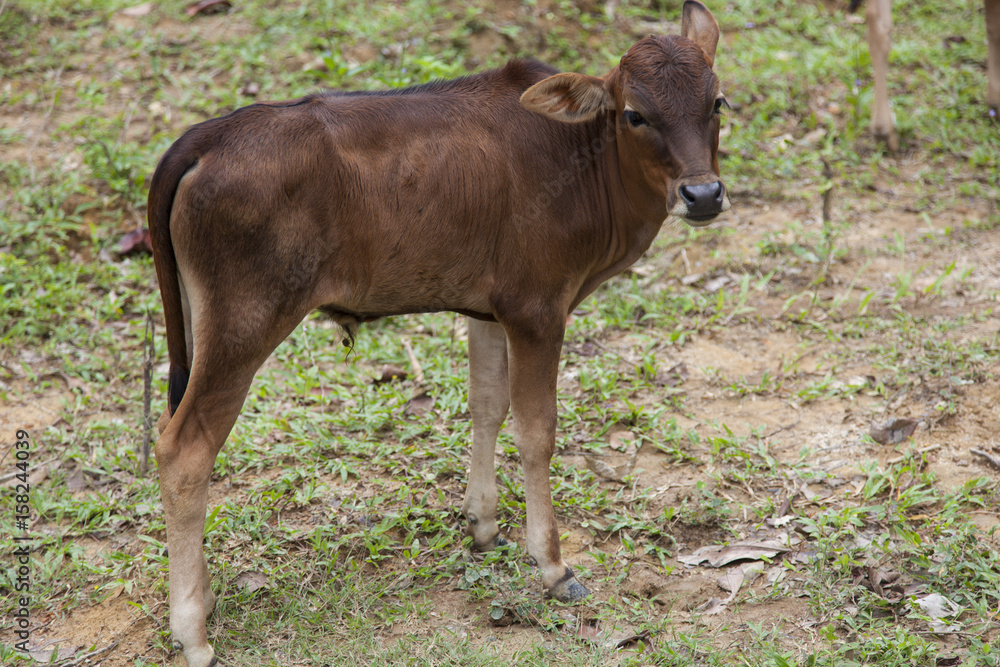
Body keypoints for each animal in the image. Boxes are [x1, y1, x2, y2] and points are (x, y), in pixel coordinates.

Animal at [148, 2, 728, 664]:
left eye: (717, 102)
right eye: (635, 113)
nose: (703, 194)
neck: (582, 157)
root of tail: (208, 136)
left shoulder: (490, 312)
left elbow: (487, 406)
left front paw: (484, 524)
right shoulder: (538, 310)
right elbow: (537, 431)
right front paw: (553, 566)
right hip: (243, 327)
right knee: (183, 451)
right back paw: (192, 632)